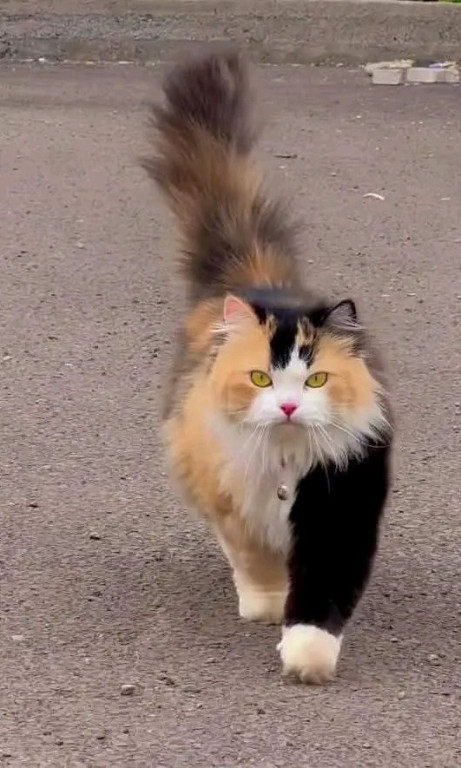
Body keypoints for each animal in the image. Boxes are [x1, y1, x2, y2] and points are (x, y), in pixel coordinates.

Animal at [142, 50, 393, 684]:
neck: (285, 462)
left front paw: (308, 658)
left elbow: (321, 594)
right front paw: (266, 605)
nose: (287, 405)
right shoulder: (233, 498)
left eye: (316, 378)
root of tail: (255, 280)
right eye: (260, 377)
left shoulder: (343, 500)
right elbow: (253, 559)